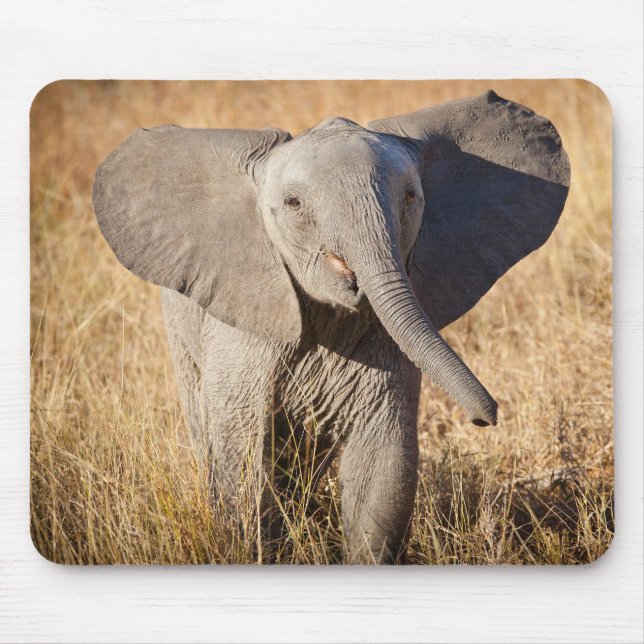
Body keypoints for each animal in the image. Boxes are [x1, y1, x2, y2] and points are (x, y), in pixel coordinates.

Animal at [92, 90, 570, 564]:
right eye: (293, 205)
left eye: (410, 196)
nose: (486, 417)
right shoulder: (244, 330)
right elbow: (242, 457)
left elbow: (382, 465)